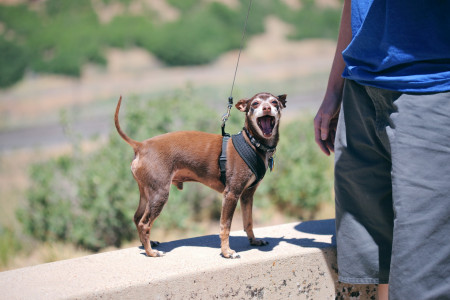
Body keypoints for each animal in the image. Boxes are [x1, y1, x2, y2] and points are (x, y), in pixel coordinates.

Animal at [114, 92, 286, 258]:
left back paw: (147, 244)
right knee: (144, 223)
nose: (266, 108)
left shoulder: (247, 195)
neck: (252, 143)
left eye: (274, 102)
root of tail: (141, 146)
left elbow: (248, 221)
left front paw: (254, 240)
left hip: (146, 193)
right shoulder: (231, 194)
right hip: (159, 194)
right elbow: (225, 226)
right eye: (255, 103)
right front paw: (226, 252)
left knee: (137, 218)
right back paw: (151, 252)